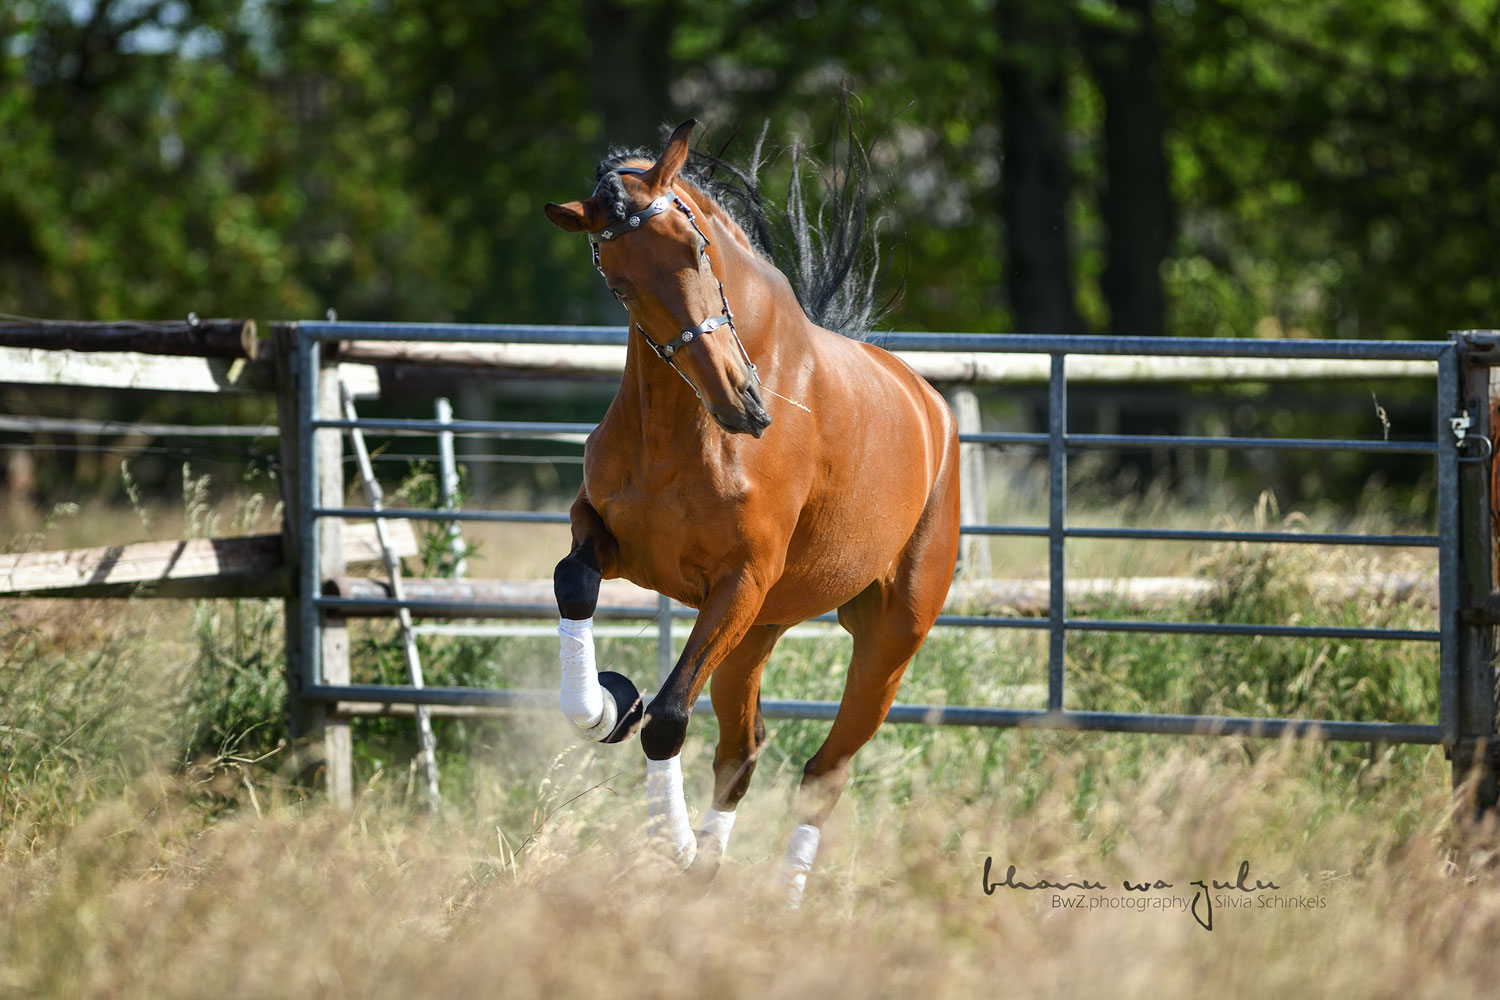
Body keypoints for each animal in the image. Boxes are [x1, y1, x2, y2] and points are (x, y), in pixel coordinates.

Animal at [546, 121, 954, 905]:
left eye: (695, 246)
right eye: (618, 283)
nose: (743, 403)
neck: (686, 430)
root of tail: (930, 410)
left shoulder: (738, 582)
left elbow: (668, 718)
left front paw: (671, 843)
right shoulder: (611, 539)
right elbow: (573, 582)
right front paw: (606, 704)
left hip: (887, 636)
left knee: (823, 773)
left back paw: (778, 896)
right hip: (757, 633)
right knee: (743, 749)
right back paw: (712, 872)